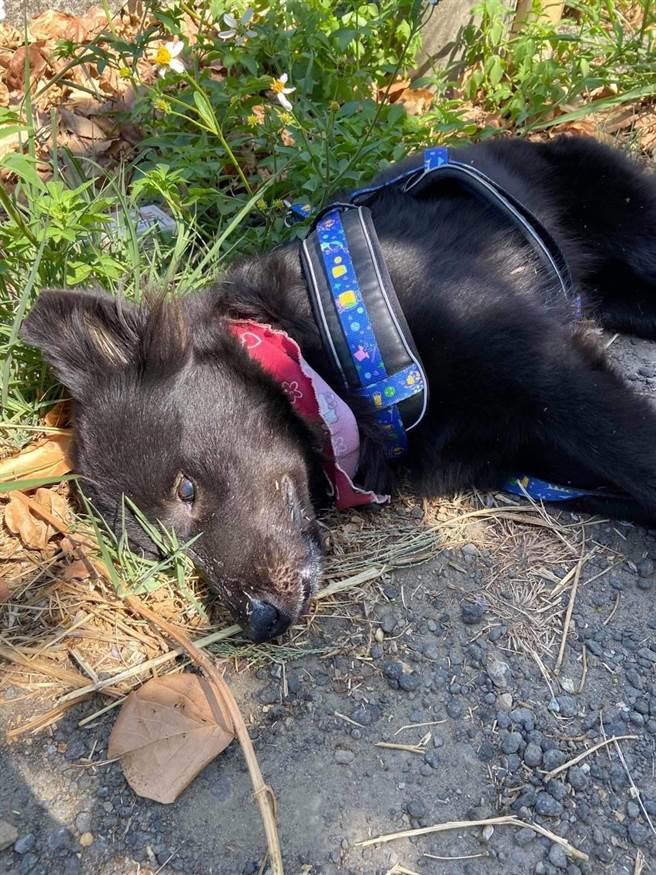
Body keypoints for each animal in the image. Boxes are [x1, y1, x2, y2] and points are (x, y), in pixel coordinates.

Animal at [20, 139, 656, 644]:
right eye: (158, 550)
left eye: (185, 488)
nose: (260, 622)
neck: (317, 357)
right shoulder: (526, 456)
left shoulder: (552, 373)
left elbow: (636, 455)